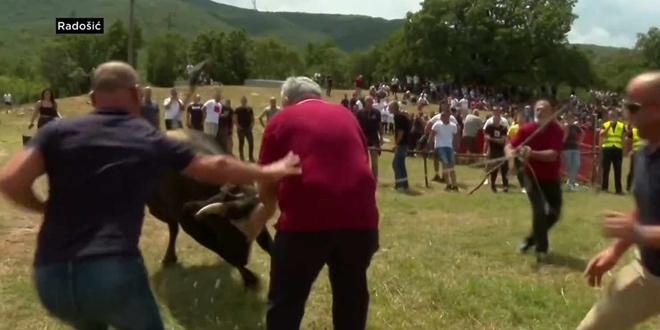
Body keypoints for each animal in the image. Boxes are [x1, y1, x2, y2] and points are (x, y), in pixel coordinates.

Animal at [147, 129, 274, 288]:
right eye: (229, 231)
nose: (244, 259)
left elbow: (267, 243)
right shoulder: (192, 227)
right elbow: (225, 254)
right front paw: (249, 278)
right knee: (173, 228)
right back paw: (169, 256)